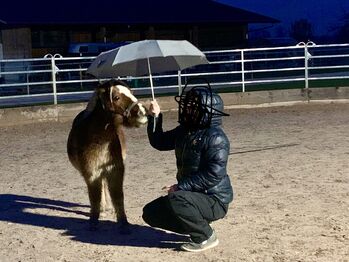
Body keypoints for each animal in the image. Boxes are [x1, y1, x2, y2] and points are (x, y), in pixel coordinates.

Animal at [66, 79, 147, 231]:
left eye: (131, 92)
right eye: (116, 97)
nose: (143, 112)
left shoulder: (115, 170)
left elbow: (118, 196)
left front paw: (124, 224)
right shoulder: (92, 174)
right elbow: (95, 198)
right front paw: (94, 222)